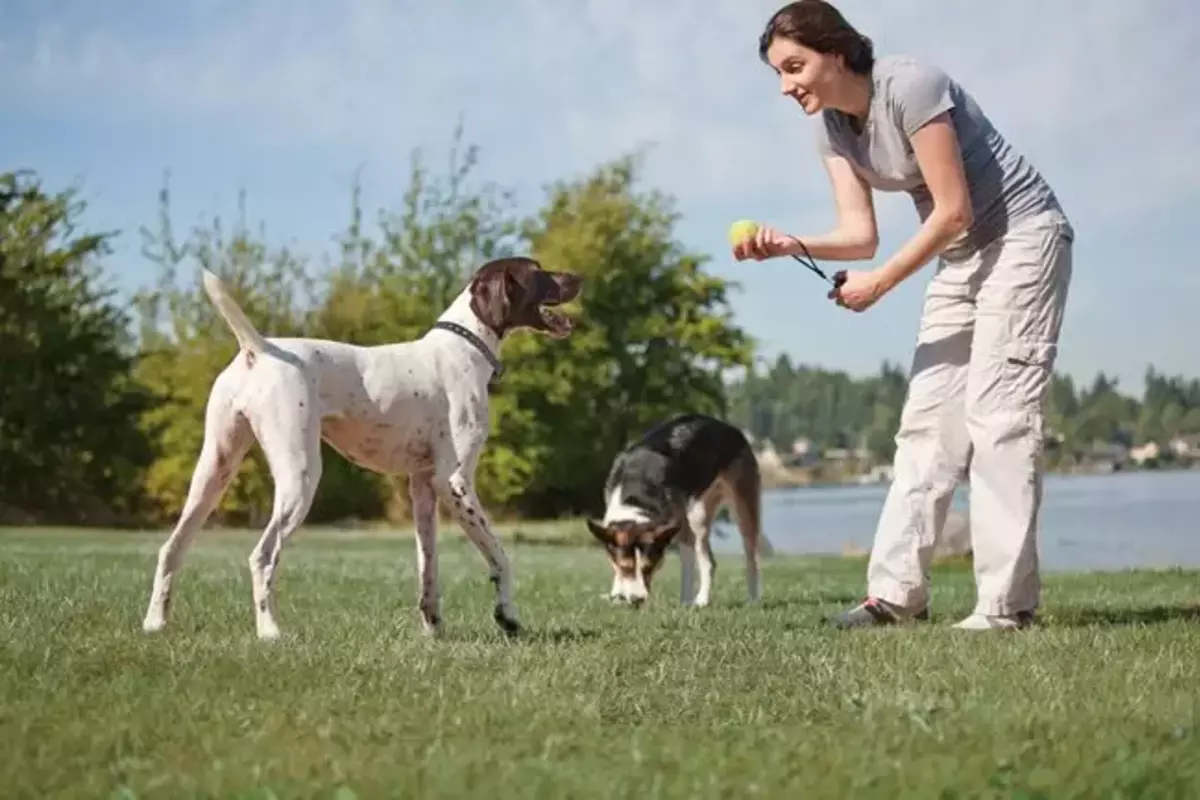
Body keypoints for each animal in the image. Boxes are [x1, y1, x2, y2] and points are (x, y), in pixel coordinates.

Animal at [142, 256, 583, 638]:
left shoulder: (423, 487)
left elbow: (428, 566)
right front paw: (507, 616)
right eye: (537, 271)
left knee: (171, 548)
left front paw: (433, 628)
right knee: (262, 557)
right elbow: (499, 556)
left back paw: (154, 623)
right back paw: (270, 632)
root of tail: (260, 349)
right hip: (300, 478)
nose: (579, 277)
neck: (464, 346)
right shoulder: (455, 481)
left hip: (213, 472)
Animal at [588, 412, 772, 606]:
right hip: (698, 514)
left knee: (751, 558)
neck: (637, 494)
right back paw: (702, 600)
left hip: (743, 507)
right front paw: (618, 593)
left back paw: (752, 599)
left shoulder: (682, 530)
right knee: (709, 562)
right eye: (625, 568)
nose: (637, 600)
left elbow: (687, 567)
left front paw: (684, 603)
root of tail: (728, 427)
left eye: (649, 567)